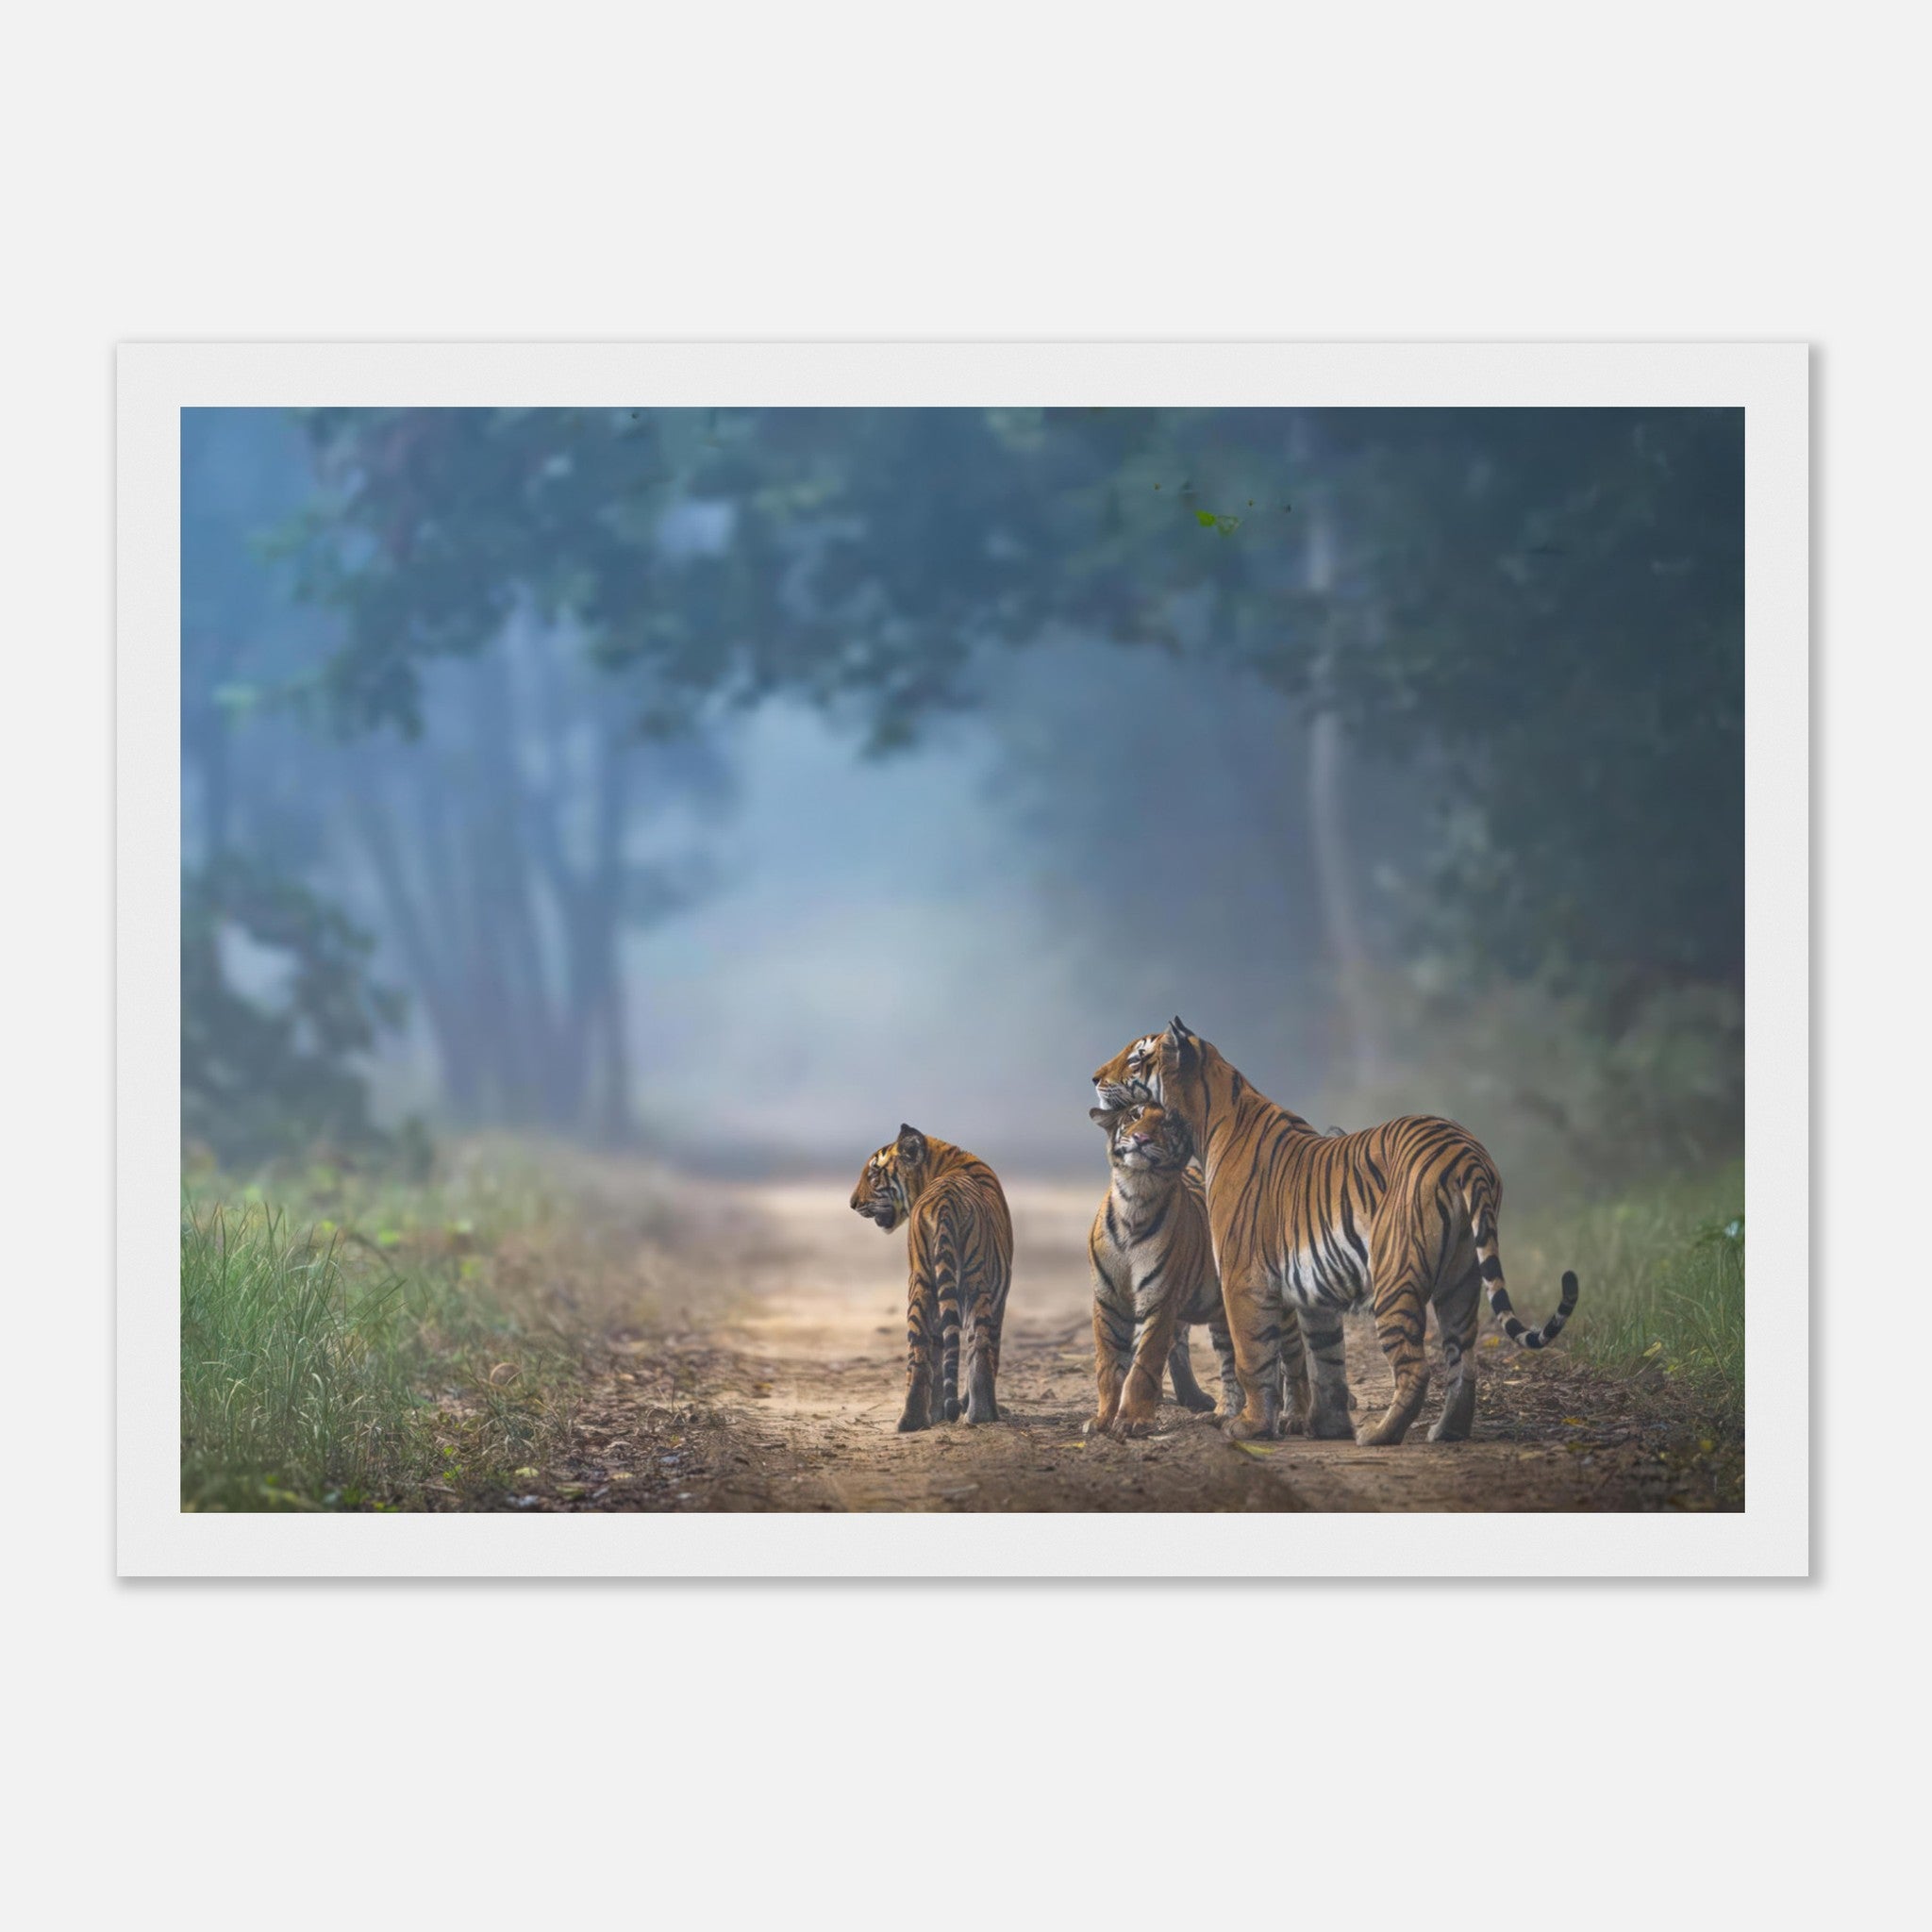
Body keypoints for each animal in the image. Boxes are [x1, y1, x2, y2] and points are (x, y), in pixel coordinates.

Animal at [850, 1123, 1013, 1432]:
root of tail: (945, 1202)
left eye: (873, 1175)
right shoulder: (1000, 1296)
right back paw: (981, 1414)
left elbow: (940, 1353)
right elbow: (990, 1352)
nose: (853, 1204)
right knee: (977, 1347)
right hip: (972, 1281)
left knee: (921, 1352)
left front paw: (939, 1412)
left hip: (923, 1282)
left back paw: (912, 1421)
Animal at [1086, 1100, 1311, 1436]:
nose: (1141, 1138)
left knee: (1294, 1357)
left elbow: (1143, 1365)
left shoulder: (1160, 1303)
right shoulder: (1107, 1301)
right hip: (1223, 1314)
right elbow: (1109, 1366)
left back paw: (1294, 1416)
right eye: (1134, 1116)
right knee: (1230, 1363)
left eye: (1167, 1124)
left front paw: (1132, 1420)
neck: (1135, 1198)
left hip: (1278, 1307)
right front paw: (1103, 1419)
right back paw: (1222, 1414)